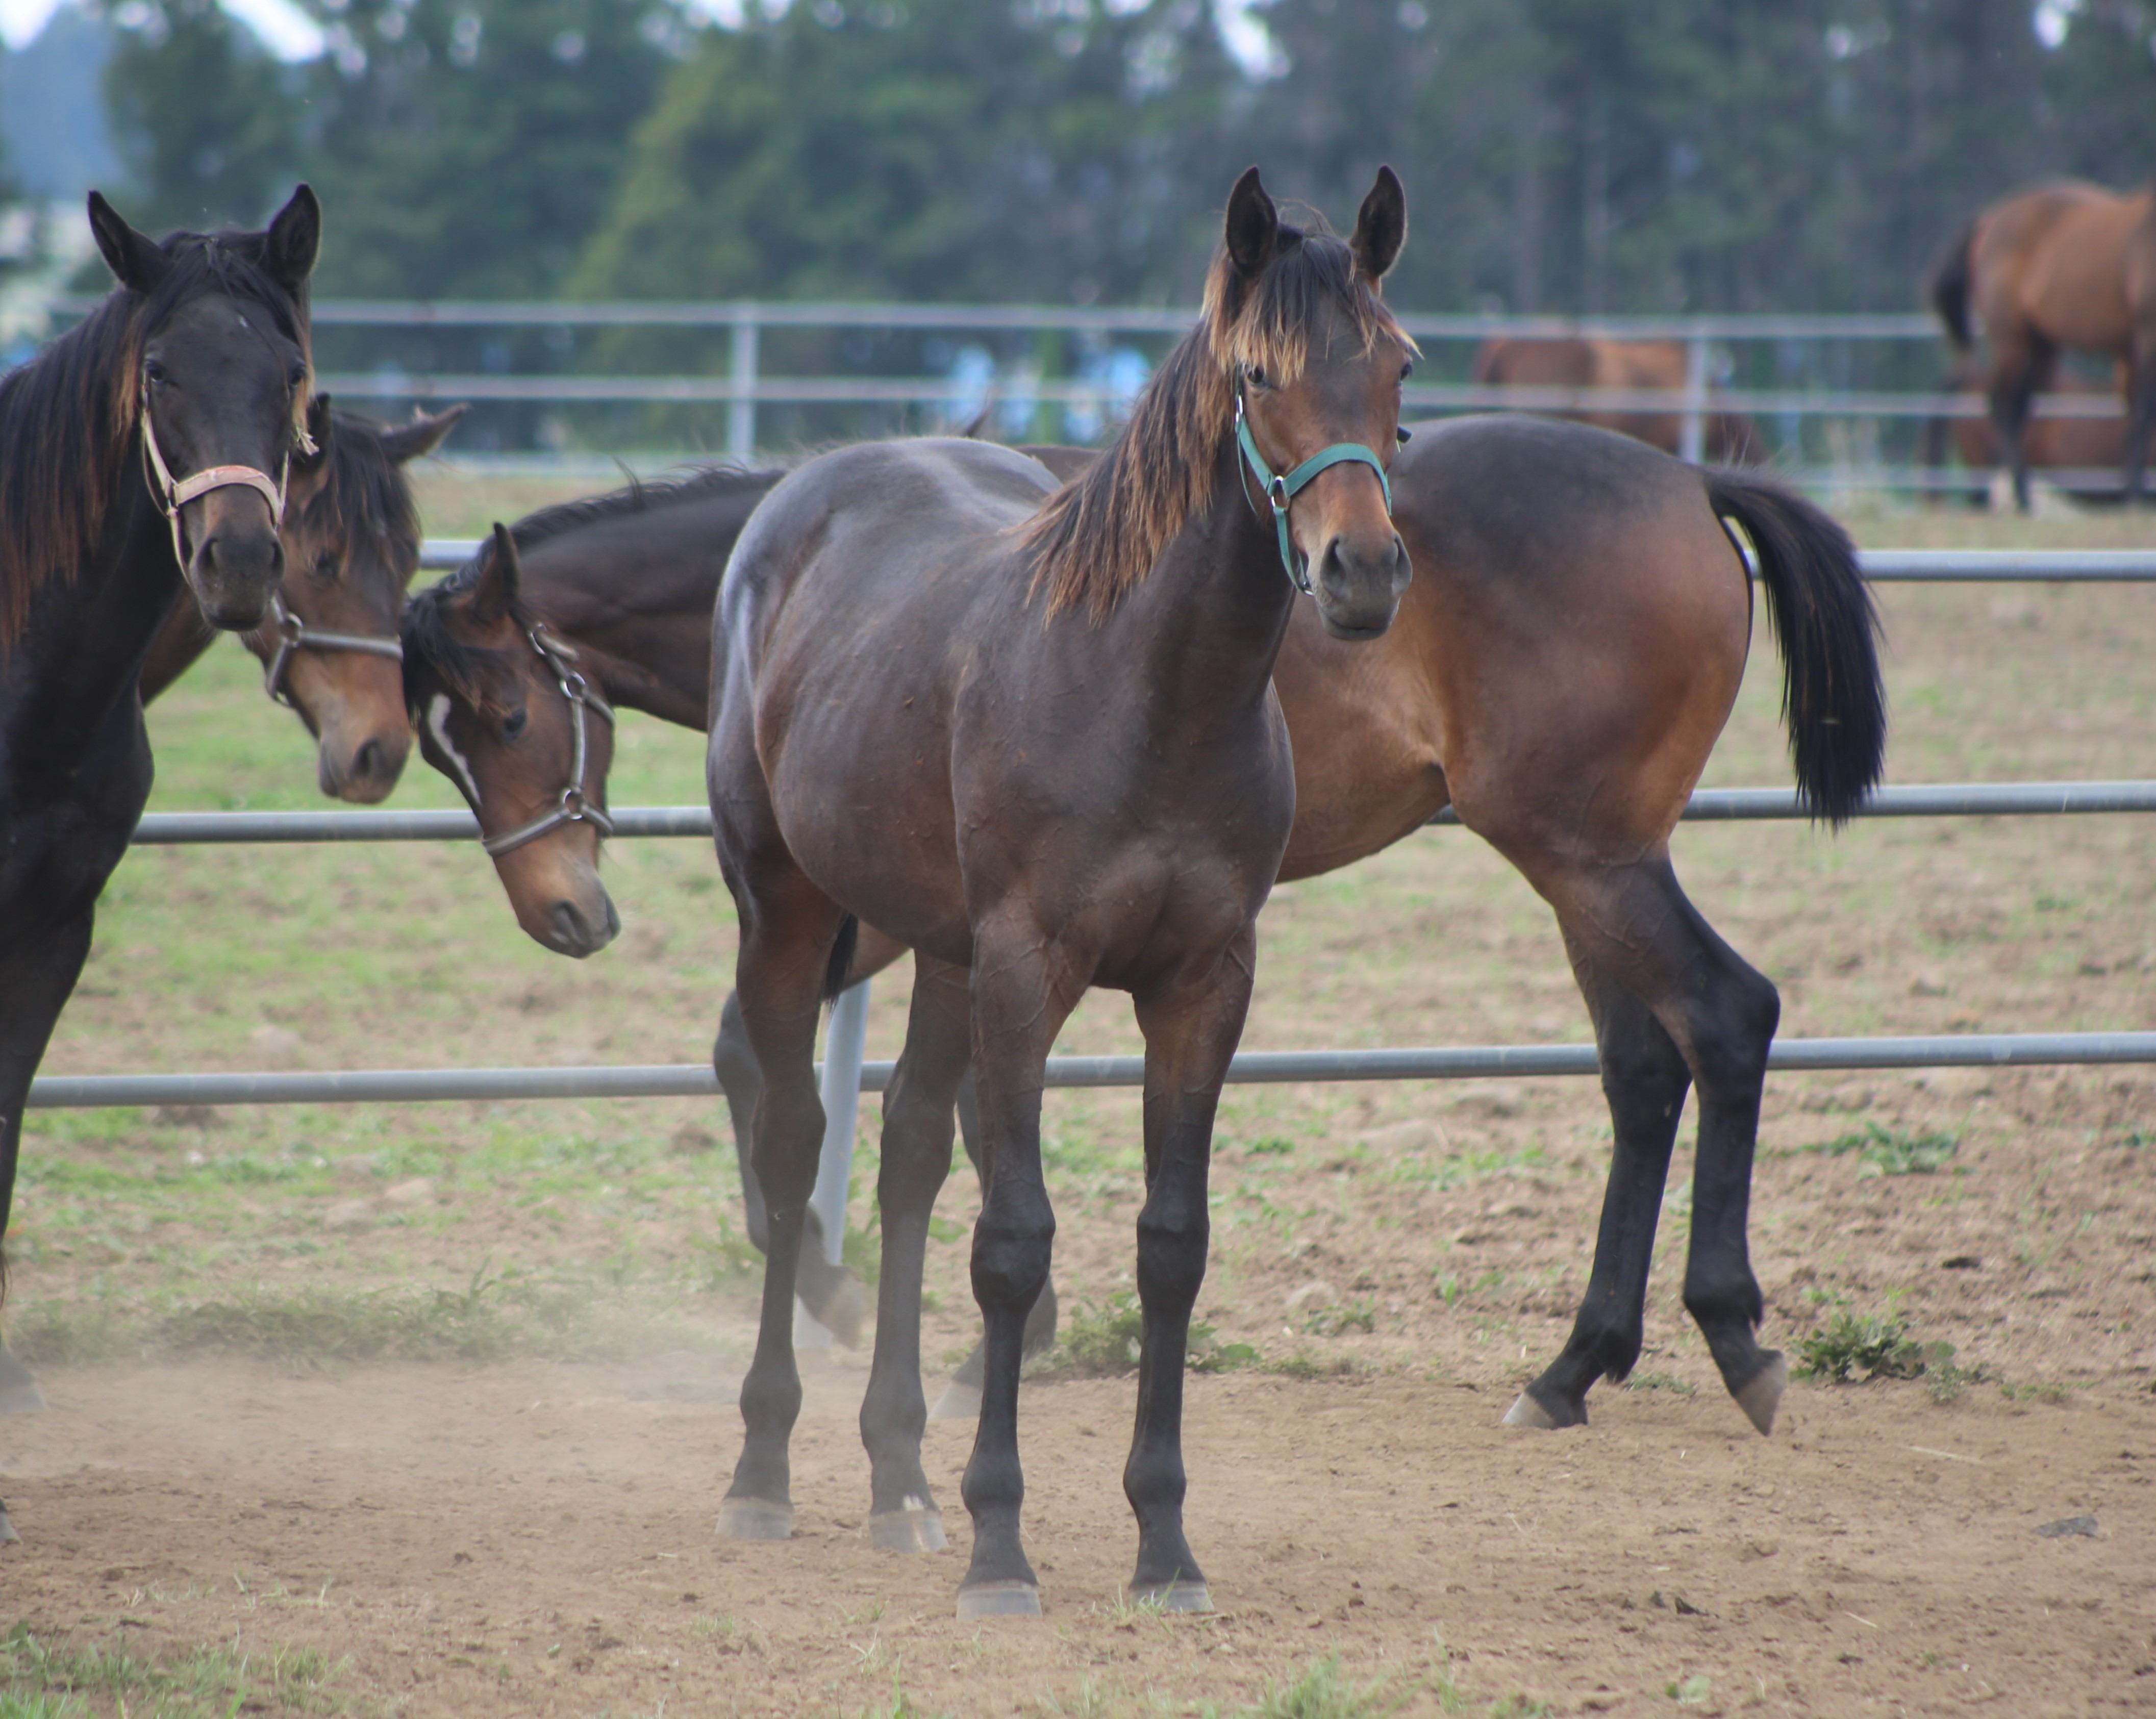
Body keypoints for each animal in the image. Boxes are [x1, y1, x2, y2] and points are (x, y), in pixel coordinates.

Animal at [1940, 180, 2156, 507]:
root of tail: (1988, 221)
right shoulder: (2146, 336)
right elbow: (2143, 417)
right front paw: (2135, 500)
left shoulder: (2129, 350)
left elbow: (2134, 418)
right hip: (2011, 339)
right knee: (2003, 407)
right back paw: (2023, 500)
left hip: (2042, 347)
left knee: (2019, 409)